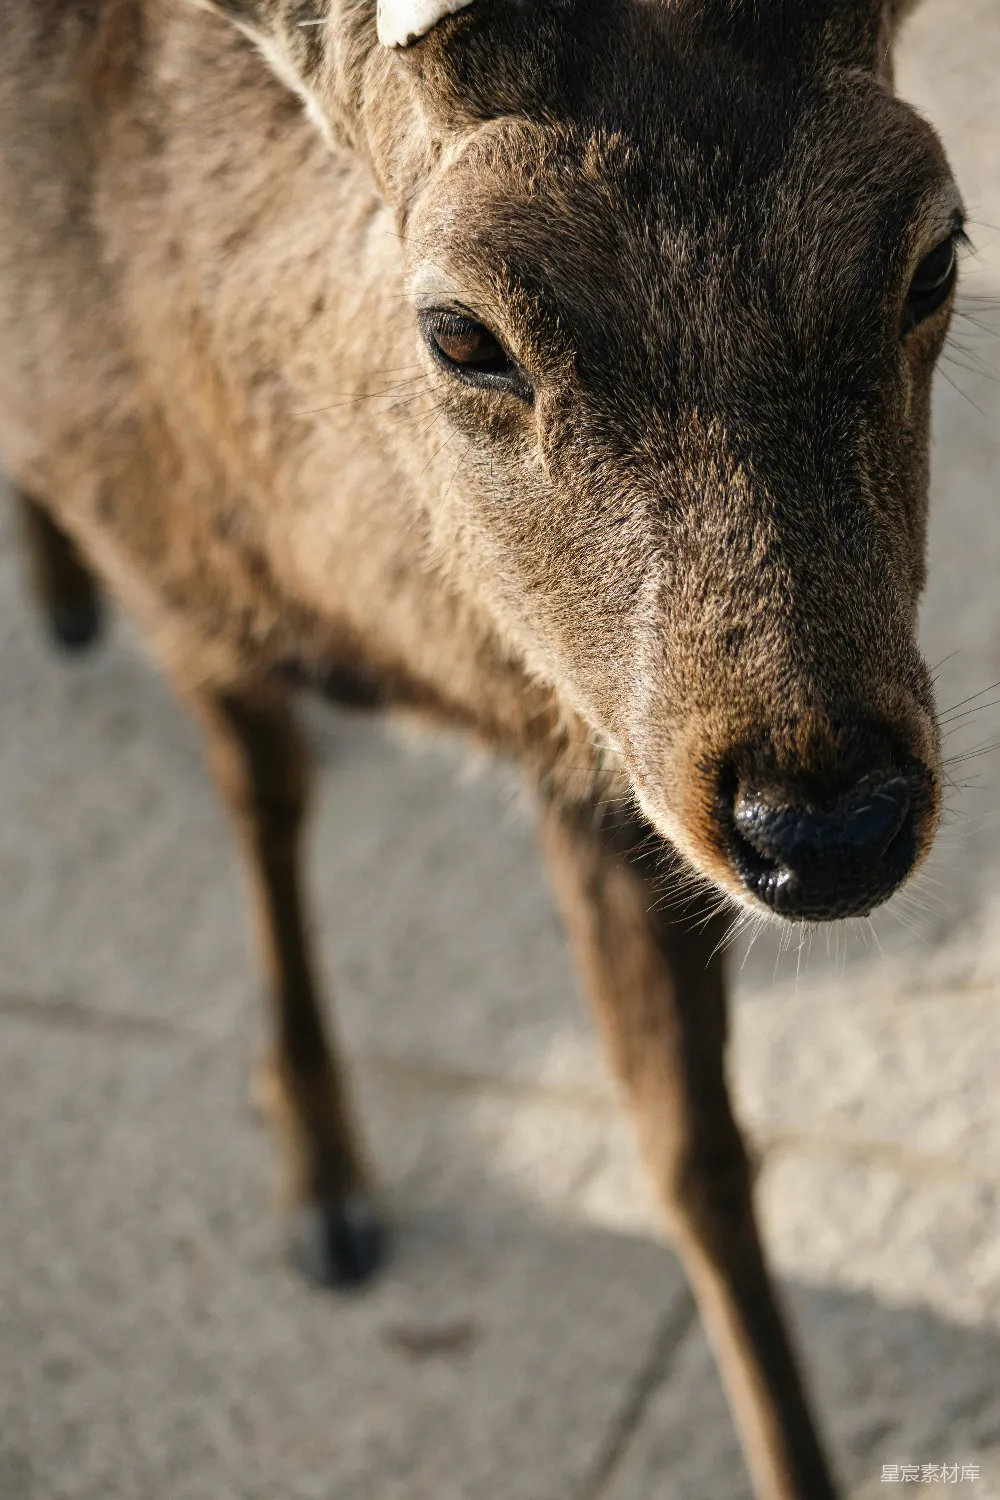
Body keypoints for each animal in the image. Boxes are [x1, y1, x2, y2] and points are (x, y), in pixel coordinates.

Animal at [0, 0, 963, 1494]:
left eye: (935, 254)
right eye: (460, 331)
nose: (828, 822)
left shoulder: (607, 759)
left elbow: (694, 1153)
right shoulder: (179, 587)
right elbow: (263, 809)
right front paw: (326, 1194)